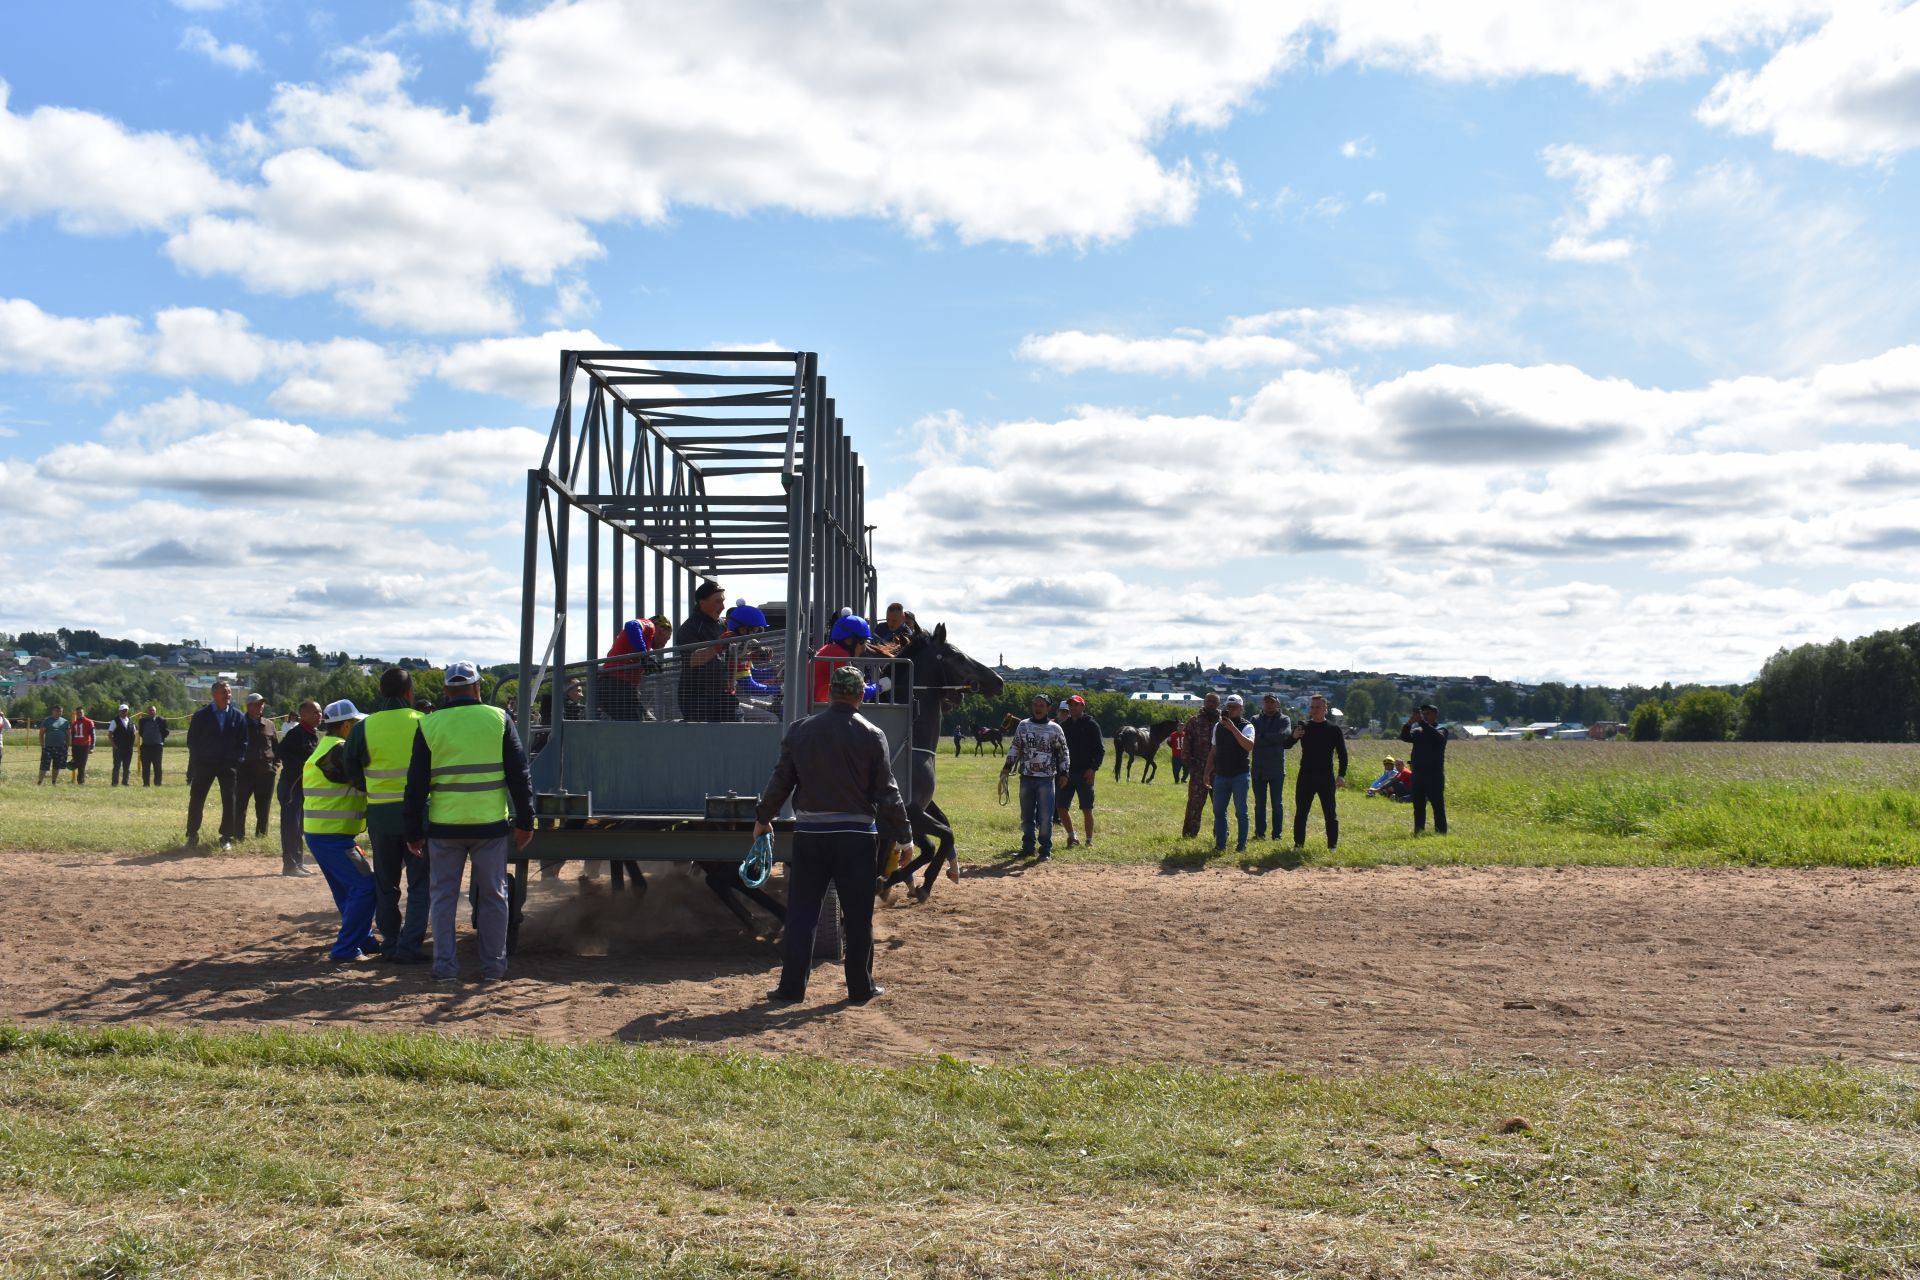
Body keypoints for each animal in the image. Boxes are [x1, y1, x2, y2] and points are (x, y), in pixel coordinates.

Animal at [883, 625, 1006, 905]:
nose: (998, 680)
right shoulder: (911, 811)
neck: (911, 746)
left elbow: (942, 833)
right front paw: (920, 883)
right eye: (958, 656)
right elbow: (943, 836)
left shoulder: (918, 810)